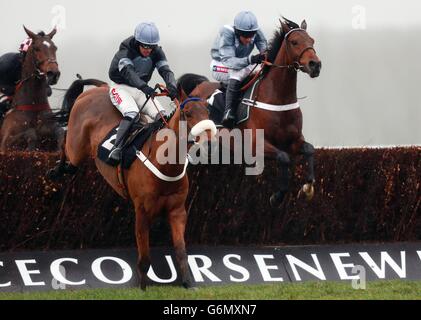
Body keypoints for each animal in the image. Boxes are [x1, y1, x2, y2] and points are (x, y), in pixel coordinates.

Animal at [49, 78, 217, 290]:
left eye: (208, 112)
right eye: (188, 113)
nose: (209, 144)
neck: (164, 165)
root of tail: (100, 89)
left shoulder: (177, 211)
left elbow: (181, 251)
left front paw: (188, 283)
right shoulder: (142, 212)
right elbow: (144, 258)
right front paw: (143, 288)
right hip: (77, 146)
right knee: (64, 142)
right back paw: (56, 169)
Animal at [177, 18, 322, 208]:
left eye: (312, 40)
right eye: (294, 42)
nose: (315, 65)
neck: (278, 101)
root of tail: (197, 87)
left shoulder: (294, 141)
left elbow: (310, 150)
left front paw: (308, 188)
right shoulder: (256, 145)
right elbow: (283, 158)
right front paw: (277, 196)